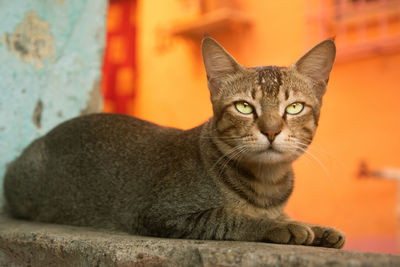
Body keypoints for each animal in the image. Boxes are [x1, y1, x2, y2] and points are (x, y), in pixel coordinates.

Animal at [3, 37, 346, 249]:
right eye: (244, 107)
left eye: (294, 107)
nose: (271, 130)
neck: (266, 183)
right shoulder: (162, 214)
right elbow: (230, 217)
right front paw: (278, 226)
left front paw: (319, 228)